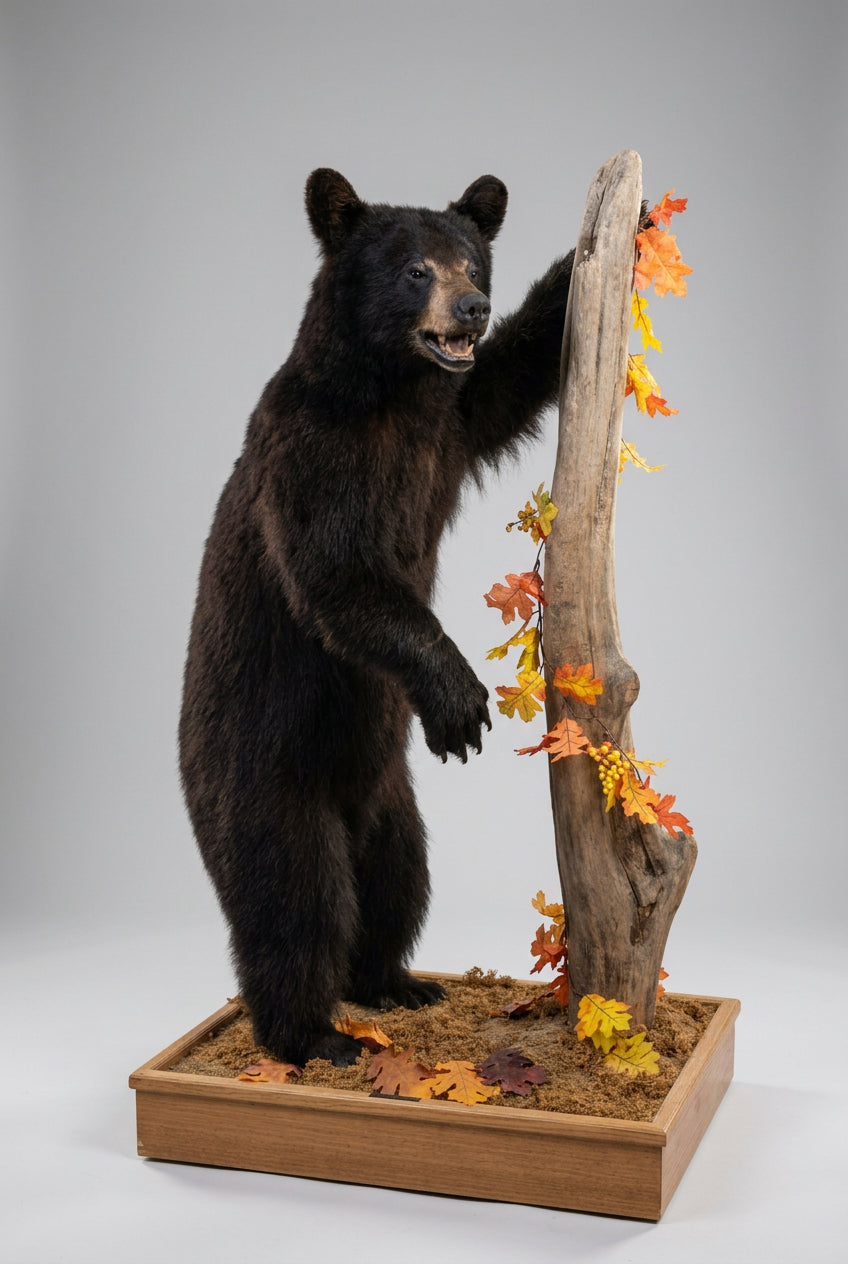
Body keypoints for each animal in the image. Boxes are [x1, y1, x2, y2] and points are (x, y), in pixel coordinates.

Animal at [179, 169, 574, 1067]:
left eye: (473, 262)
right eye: (414, 270)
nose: (471, 310)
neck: (390, 394)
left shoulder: (451, 424)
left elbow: (516, 371)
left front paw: (621, 231)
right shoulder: (314, 454)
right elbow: (341, 578)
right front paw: (461, 700)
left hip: (392, 799)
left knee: (398, 882)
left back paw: (396, 982)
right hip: (267, 776)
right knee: (295, 903)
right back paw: (314, 1034)